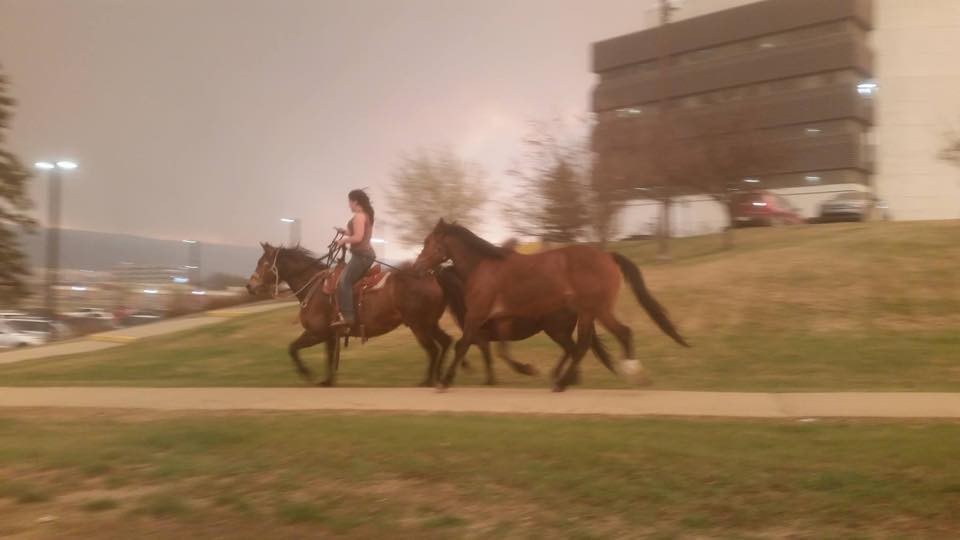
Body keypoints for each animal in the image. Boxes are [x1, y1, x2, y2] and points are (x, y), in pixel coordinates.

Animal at [248, 243, 450, 386]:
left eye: (264, 263)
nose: (250, 286)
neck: (316, 289)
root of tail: (431, 276)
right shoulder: (330, 336)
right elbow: (329, 358)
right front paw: (327, 381)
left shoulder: (316, 333)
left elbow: (292, 348)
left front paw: (307, 374)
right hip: (430, 324)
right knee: (445, 343)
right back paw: (439, 377)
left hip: (419, 326)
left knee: (433, 350)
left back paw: (427, 381)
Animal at [412, 220, 688, 392]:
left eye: (428, 242)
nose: (416, 267)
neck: (482, 267)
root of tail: (607, 255)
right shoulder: (500, 321)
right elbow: (497, 349)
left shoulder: (477, 316)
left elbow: (462, 345)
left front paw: (444, 382)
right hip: (589, 314)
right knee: (590, 343)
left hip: (594, 310)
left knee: (604, 339)